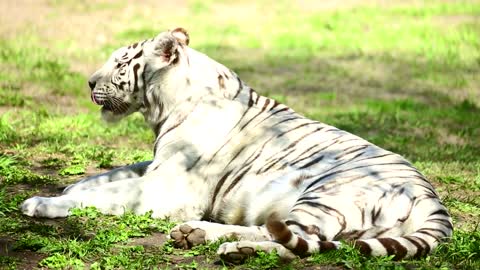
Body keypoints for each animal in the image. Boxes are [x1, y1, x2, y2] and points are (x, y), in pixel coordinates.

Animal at [21, 28, 450, 262]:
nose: (90, 82)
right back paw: (202, 237)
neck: (167, 106)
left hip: (324, 195)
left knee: (293, 239)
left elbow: (106, 193)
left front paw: (42, 203)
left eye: (122, 64)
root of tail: (432, 199)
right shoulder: (157, 165)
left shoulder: (167, 189)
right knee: (303, 240)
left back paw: (225, 247)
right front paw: (68, 186)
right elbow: (109, 175)